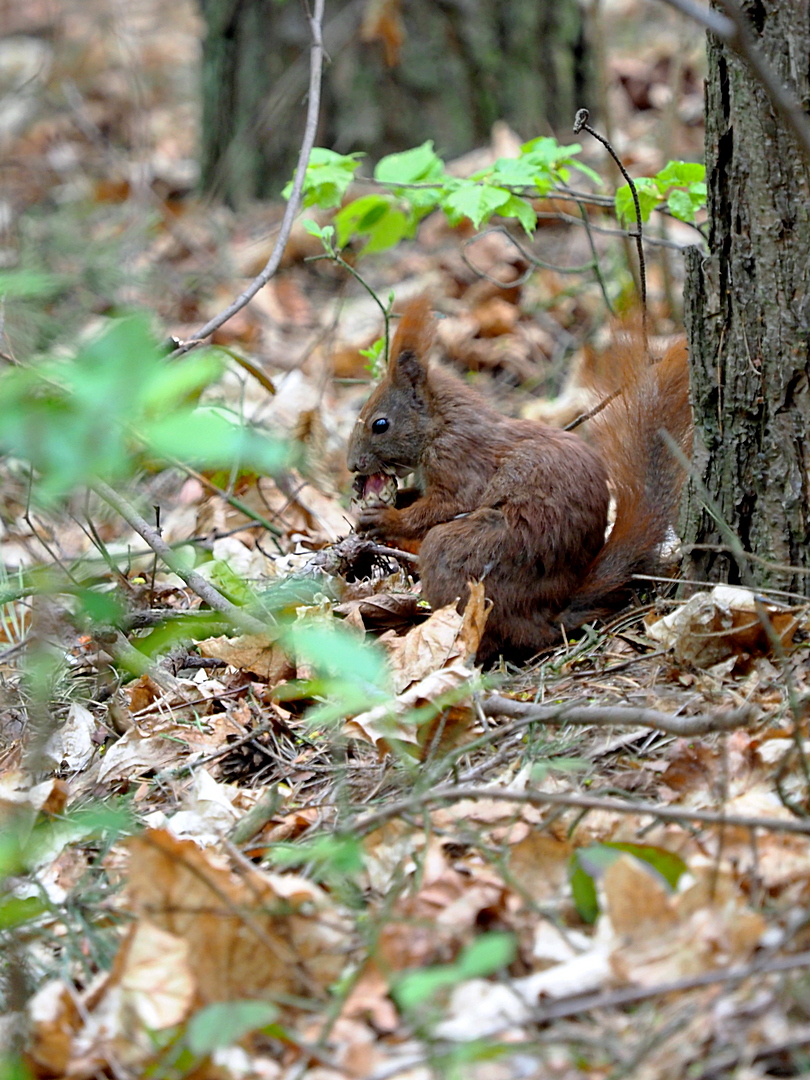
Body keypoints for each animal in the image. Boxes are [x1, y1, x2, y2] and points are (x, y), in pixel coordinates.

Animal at [345, 300, 695, 660]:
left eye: (380, 424)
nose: (352, 466)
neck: (442, 425)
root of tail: (551, 613)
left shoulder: (461, 462)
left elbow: (445, 505)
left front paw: (387, 518)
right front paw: (380, 500)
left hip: (479, 552)